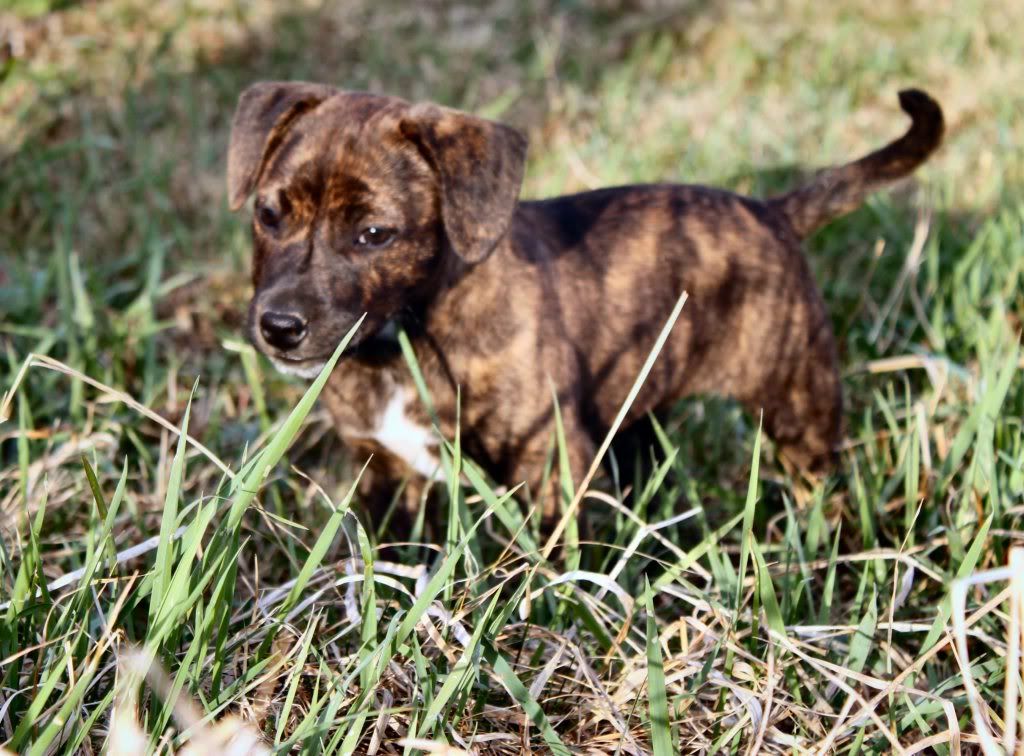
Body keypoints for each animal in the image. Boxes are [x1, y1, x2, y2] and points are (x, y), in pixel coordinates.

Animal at [230, 82, 942, 518]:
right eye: (268, 215)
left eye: (374, 235)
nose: (279, 326)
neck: (406, 338)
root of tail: (773, 212)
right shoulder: (378, 472)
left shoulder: (551, 466)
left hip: (800, 407)